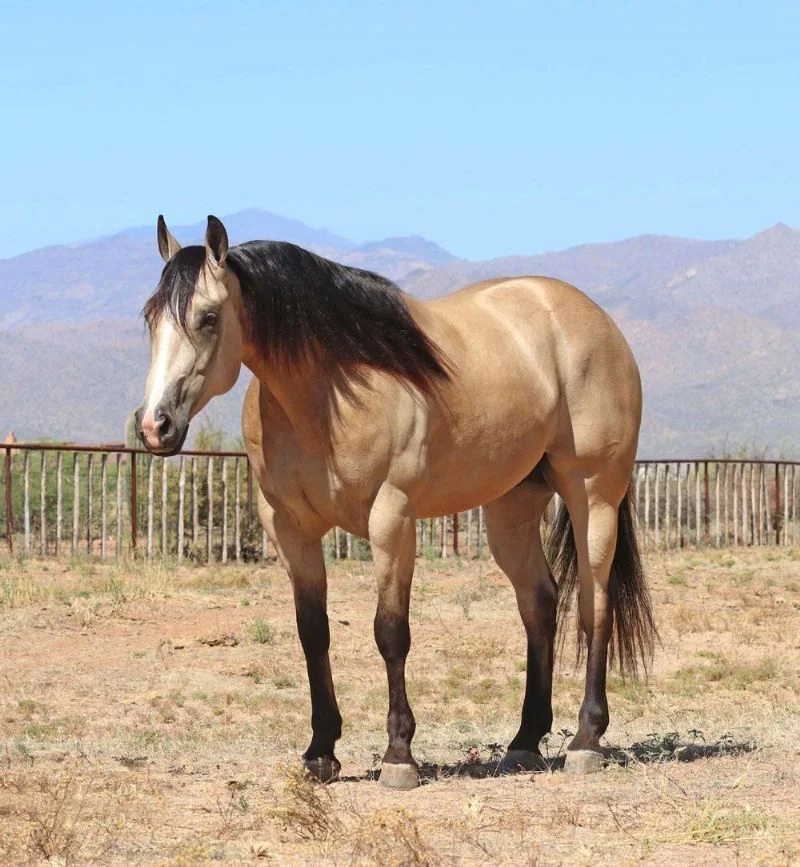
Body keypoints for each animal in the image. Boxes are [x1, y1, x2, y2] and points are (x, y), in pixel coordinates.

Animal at [134, 214, 655, 789]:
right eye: (150, 317)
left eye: (207, 317)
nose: (155, 427)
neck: (329, 396)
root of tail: (595, 322)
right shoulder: (290, 529)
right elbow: (313, 633)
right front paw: (320, 752)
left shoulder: (392, 519)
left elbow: (390, 632)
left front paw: (399, 754)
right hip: (511, 510)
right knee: (540, 603)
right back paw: (523, 743)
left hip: (593, 495)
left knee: (594, 605)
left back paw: (586, 741)